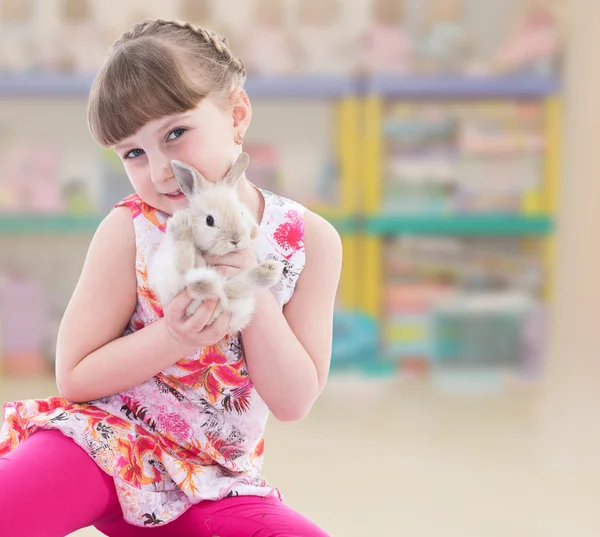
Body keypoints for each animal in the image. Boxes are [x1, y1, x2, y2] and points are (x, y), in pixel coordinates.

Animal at [149, 152, 282, 336]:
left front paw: (253, 231)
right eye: (209, 220)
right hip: (172, 277)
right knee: (187, 270)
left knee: (228, 290)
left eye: (240, 212)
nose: (235, 240)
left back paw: (268, 271)